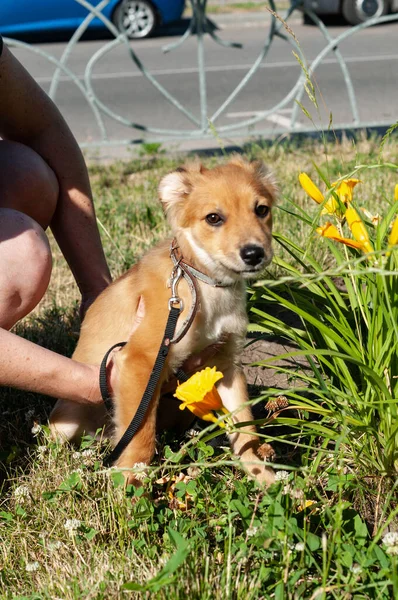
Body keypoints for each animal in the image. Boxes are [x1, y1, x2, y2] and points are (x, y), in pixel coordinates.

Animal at [50, 158, 276, 488]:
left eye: (261, 209)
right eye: (213, 218)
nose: (254, 254)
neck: (203, 283)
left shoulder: (226, 364)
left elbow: (246, 430)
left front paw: (264, 476)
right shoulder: (141, 361)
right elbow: (140, 438)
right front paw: (130, 485)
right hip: (63, 425)